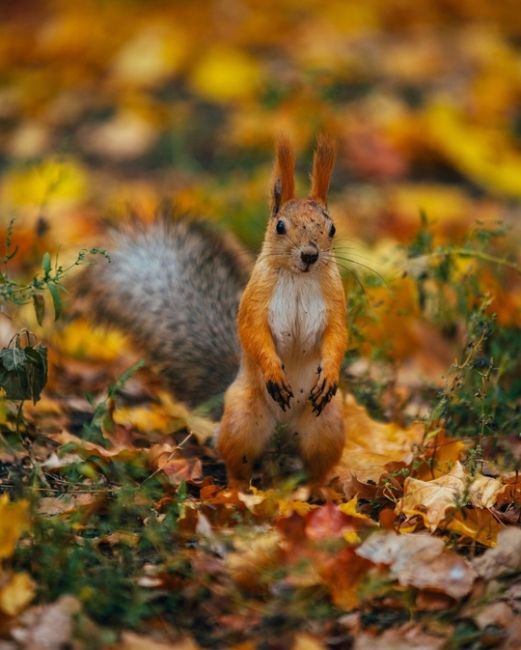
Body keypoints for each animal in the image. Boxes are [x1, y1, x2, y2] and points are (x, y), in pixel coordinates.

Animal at [78, 137, 346, 486]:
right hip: (243, 420)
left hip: (326, 425)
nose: (310, 255)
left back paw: (319, 492)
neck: (300, 278)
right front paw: (273, 370)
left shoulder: (335, 301)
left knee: (316, 466)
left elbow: (337, 337)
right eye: (280, 226)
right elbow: (253, 332)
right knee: (237, 461)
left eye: (332, 228)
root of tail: (283, 436)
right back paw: (237, 491)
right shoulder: (255, 300)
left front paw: (330, 373)